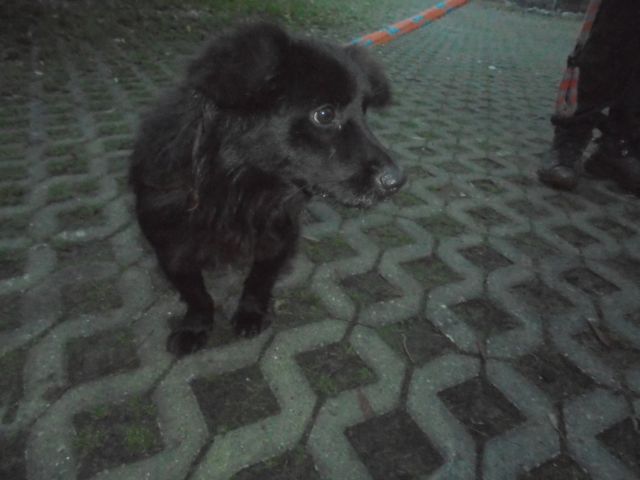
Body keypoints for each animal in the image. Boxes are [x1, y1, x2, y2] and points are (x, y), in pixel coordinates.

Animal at [130, 21, 405, 356]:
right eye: (324, 114)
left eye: (364, 111)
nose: (397, 180)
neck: (236, 189)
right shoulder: (170, 247)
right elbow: (196, 294)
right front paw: (196, 325)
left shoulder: (280, 234)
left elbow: (258, 280)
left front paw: (250, 313)